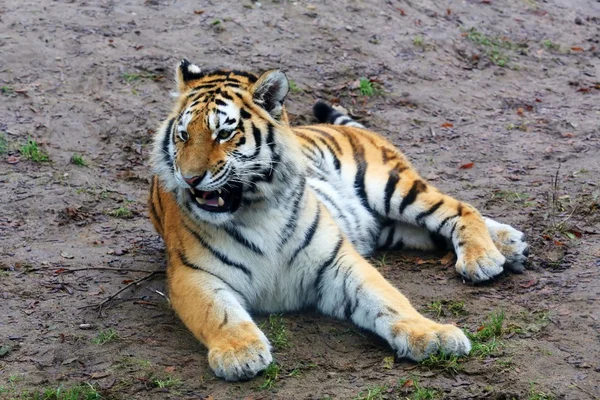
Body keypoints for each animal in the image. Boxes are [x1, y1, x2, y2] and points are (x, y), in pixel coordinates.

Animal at [149, 60, 528, 382]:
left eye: (224, 134)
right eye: (183, 135)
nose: (190, 179)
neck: (256, 209)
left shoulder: (337, 261)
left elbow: (389, 299)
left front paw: (433, 335)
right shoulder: (192, 274)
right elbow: (220, 314)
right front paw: (240, 353)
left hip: (389, 186)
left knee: (460, 208)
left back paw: (486, 256)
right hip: (388, 226)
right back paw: (510, 244)